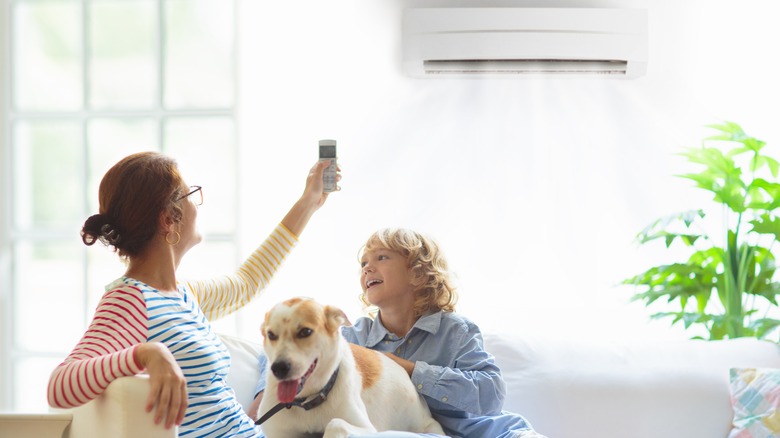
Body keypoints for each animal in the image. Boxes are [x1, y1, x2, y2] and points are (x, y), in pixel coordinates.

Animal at [253, 298, 442, 438]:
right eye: (271, 335)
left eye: (305, 332)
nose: (279, 368)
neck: (307, 401)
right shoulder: (280, 433)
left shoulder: (366, 428)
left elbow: (335, 424)